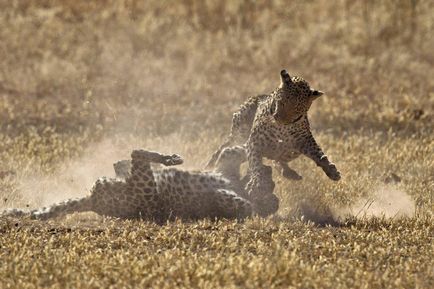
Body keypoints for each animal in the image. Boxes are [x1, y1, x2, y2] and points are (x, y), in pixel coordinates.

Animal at [1, 145, 276, 222]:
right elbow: (234, 151)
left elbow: (243, 206)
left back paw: (166, 159)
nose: (272, 179)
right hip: (141, 179)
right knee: (130, 156)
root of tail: (92, 201)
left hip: (142, 183)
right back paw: (169, 159)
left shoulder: (231, 198)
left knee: (133, 156)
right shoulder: (227, 167)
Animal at [205, 68, 340, 205]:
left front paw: (331, 171)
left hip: (293, 152)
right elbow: (256, 164)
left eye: (297, 112)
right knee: (231, 147)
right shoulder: (254, 144)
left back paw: (289, 173)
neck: (283, 127)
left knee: (278, 160)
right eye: (282, 102)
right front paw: (257, 184)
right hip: (240, 132)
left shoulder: (305, 140)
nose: (278, 119)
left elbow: (319, 154)